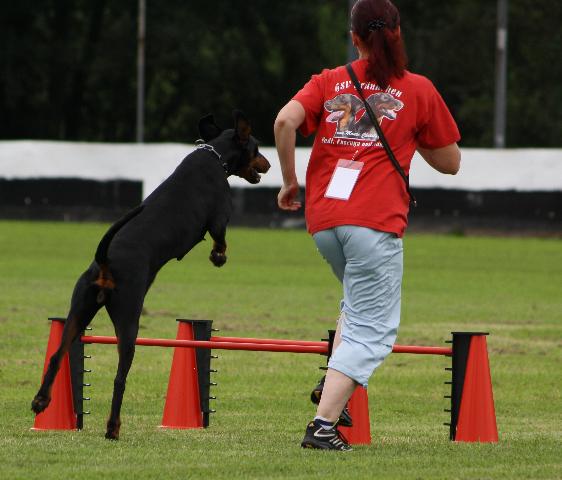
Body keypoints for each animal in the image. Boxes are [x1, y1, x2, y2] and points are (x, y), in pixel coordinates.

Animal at [31, 110, 270, 440]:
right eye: (257, 148)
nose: (269, 164)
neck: (215, 155)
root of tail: (105, 261)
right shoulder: (220, 217)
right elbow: (221, 240)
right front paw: (218, 257)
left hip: (80, 308)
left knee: (57, 355)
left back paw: (41, 400)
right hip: (128, 318)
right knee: (119, 378)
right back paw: (113, 428)